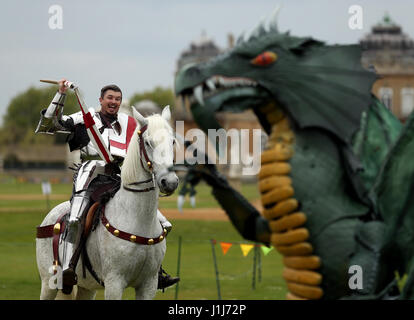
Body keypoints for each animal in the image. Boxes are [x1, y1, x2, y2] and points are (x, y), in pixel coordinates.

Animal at [36, 106, 178, 298]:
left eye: (172, 142)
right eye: (148, 143)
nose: (169, 182)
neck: (137, 219)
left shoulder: (148, 284)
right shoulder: (114, 282)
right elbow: (55, 122)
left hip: (86, 287)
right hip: (48, 284)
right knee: (74, 223)